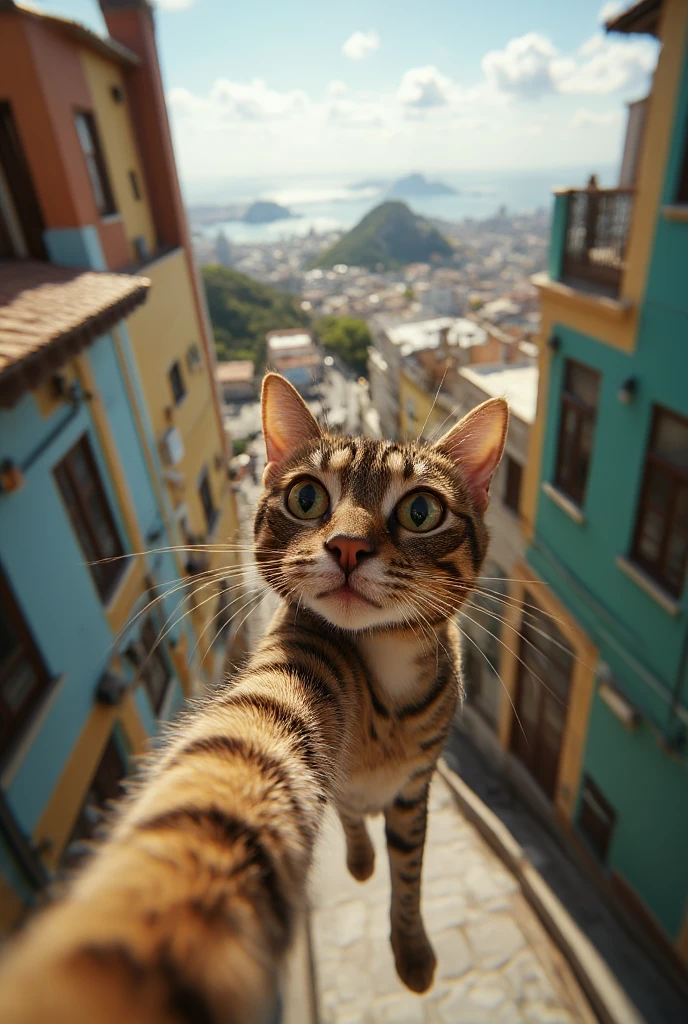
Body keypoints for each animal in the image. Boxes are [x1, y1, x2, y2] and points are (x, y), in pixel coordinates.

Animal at [0, 376, 505, 1024]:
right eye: (307, 497)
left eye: (421, 511)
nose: (347, 546)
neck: (387, 677)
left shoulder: (416, 788)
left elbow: (411, 874)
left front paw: (411, 947)